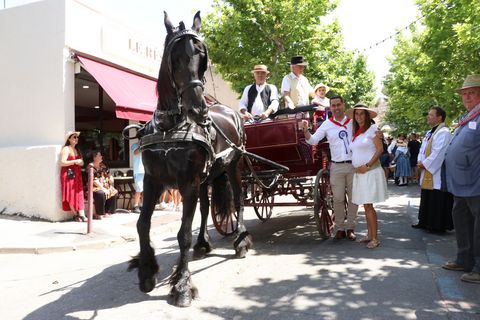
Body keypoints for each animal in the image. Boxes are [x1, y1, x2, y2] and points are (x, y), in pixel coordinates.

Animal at [125, 11, 253, 308]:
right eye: (175, 57)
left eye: (202, 57)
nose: (199, 110)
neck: (169, 127)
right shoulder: (153, 181)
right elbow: (142, 224)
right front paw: (147, 270)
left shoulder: (188, 183)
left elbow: (182, 233)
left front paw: (182, 285)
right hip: (207, 178)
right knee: (206, 209)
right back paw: (203, 243)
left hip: (233, 167)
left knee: (239, 198)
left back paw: (240, 240)